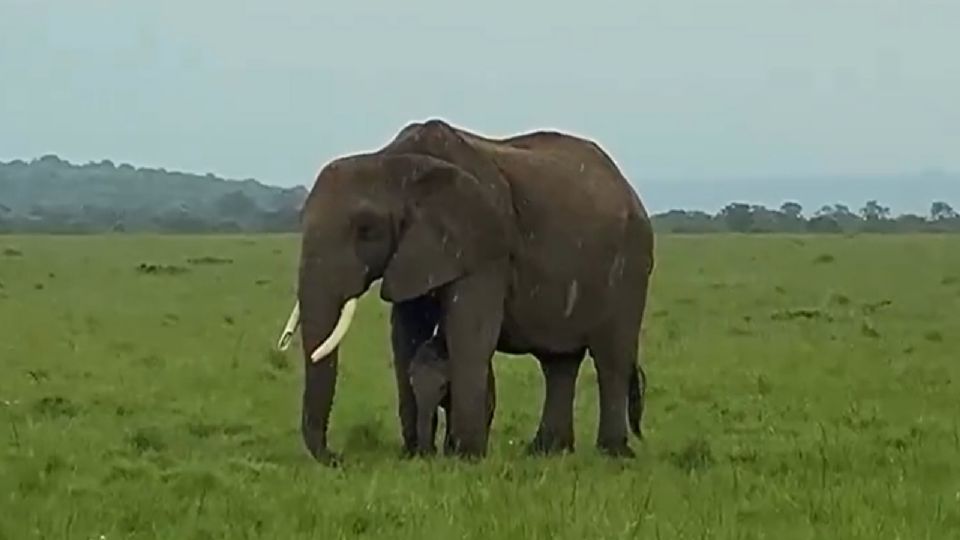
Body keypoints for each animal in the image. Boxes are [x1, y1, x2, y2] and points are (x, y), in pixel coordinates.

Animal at [274, 118, 656, 464]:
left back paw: (613, 454)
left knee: (611, 357)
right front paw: (416, 454)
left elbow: (469, 334)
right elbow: (406, 334)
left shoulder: (484, 245)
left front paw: (466, 457)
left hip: (632, 264)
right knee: (559, 361)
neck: (395, 162)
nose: (337, 458)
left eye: (366, 230)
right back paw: (546, 451)